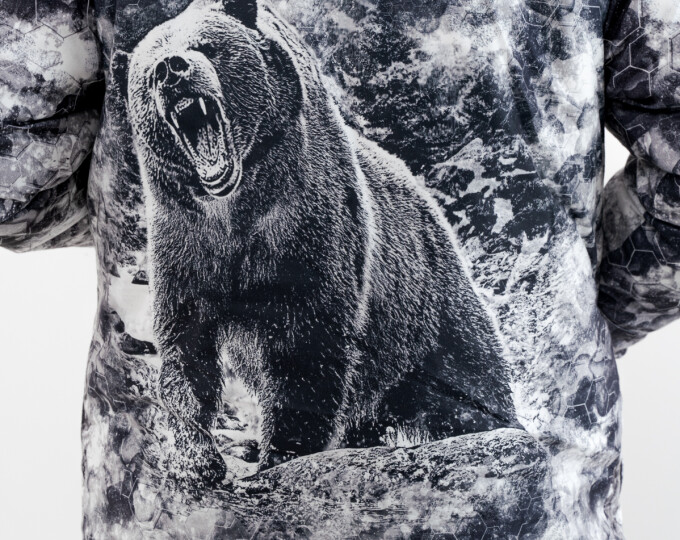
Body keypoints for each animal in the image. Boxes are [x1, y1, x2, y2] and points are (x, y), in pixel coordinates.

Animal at [127, 0, 519, 490]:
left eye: (207, 45)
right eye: (148, 70)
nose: (171, 69)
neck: (235, 207)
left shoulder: (308, 226)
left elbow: (308, 343)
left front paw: (284, 452)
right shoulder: (185, 244)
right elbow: (187, 347)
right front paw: (197, 459)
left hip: (428, 302)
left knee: (471, 373)